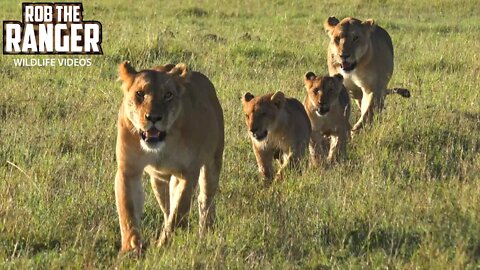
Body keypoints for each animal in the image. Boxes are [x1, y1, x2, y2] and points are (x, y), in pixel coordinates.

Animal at [115, 60, 224, 253]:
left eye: (168, 95)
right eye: (139, 94)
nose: (153, 117)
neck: (163, 143)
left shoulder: (187, 172)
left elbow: (179, 210)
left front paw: (164, 244)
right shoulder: (128, 170)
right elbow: (128, 212)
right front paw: (130, 249)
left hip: (213, 162)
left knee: (205, 200)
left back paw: (206, 233)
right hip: (158, 181)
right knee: (166, 209)